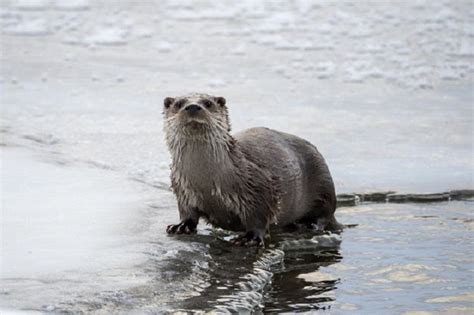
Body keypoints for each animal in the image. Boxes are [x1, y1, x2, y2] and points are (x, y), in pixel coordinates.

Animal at [163, 93, 340, 247]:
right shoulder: (182, 189)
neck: (204, 182)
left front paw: (250, 238)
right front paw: (181, 226)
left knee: (325, 213)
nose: (193, 107)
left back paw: (310, 224)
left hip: (323, 182)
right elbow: (188, 212)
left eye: (208, 103)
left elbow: (259, 216)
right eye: (179, 104)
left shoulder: (257, 184)